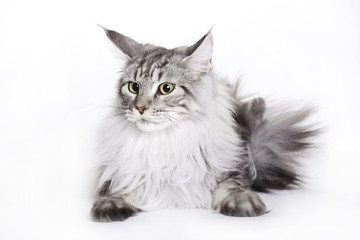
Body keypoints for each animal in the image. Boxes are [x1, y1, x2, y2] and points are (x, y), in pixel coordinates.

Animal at [91, 27, 320, 221]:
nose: (139, 108)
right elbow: (110, 188)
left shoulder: (235, 165)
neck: (165, 141)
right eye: (134, 87)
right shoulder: (113, 169)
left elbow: (232, 185)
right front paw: (110, 205)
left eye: (166, 88)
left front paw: (242, 202)